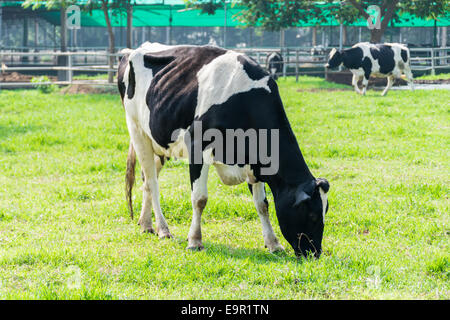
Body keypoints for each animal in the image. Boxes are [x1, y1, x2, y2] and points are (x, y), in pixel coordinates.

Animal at [118, 42, 330, 258]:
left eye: (325, 211)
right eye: (312, 215)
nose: (315, 253)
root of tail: (133, 51)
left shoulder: (256, 162)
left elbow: (262, 204)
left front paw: (273, 243)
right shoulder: (197, 145)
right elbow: (200, 199)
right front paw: (195, 241)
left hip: (159, 141)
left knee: (147, 179)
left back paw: (146, 224)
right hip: (137, 130)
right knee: (152, 182)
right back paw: (163, 229)